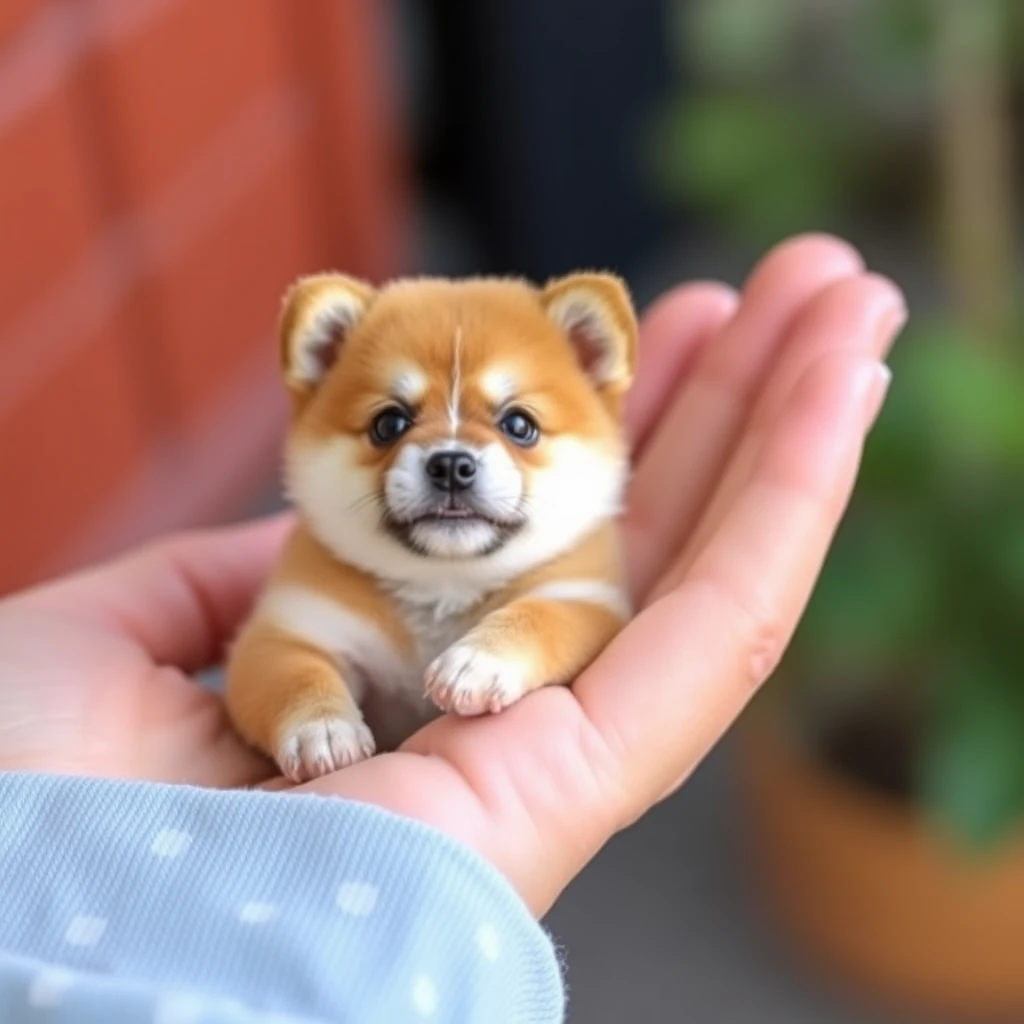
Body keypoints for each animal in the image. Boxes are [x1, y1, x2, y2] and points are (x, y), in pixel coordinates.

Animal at [228, 268, 634, 778]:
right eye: (389, 424)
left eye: (519, 425)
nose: (452, 465)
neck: (442, 582)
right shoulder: (290, 627)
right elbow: (296, 674)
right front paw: (322, 728)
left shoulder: (585, 600)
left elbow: (538, 616)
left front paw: (476, 662)